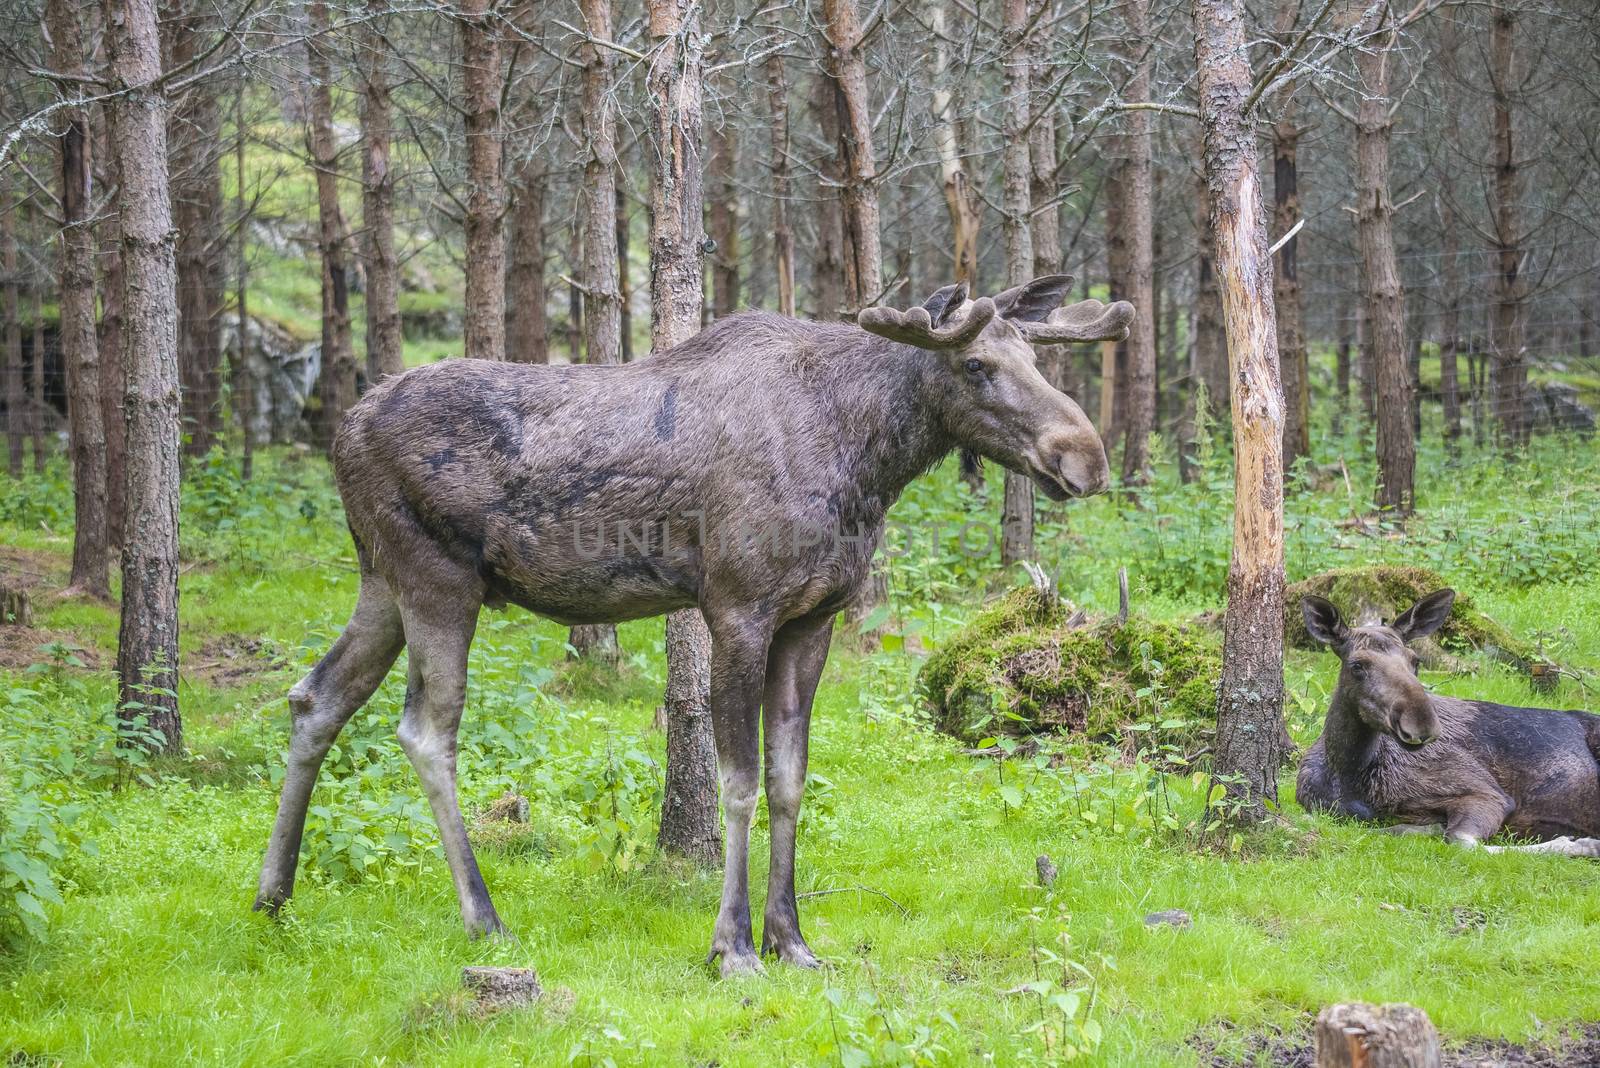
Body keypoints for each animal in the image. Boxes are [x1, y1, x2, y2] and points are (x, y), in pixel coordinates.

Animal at [256, 271, 1139, 972]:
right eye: (975, 365)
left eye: (1036, 360)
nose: (1086, 458)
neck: (866, 466)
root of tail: (339, 431)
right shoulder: (738, 608)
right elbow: (738, 783)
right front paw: (734, 945)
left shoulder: (812, 620)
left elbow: (790, 781)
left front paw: (793, 939)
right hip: (437, 579)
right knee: (425, 730)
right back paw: (484, 917)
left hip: (381, 580)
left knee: (316, 696)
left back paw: (272, 894)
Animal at [1299, 588, 1600, 856]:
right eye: (1357, 665)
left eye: (1415, 661)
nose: (1421, 723)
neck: (1348, 773)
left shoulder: (1487, 794)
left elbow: (1460, 841)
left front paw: (1581, 845)